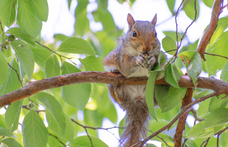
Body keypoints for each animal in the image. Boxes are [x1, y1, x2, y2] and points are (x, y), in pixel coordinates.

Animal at [103, 13, 160, 146]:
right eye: (134, 34)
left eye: (155, 34)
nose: (147, 48)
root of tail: (137, 103)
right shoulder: (122, 56)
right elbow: (126, 66)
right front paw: (137, 59)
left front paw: (152, 60)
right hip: (113, 91)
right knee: (120, 97)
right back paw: (117, 86)